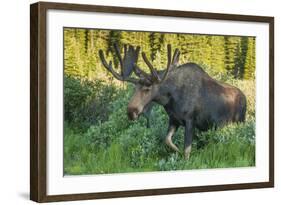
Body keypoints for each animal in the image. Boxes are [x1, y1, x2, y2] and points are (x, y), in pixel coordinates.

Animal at [98, 43, 245, 159]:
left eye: (147, 88)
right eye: (134, 88)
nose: (131, 112)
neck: (170, 99)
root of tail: (245, 98)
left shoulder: (190, 120)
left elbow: (187, 150)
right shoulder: (174, 119)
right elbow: (167, 140)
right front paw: (177, 151)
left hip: (239, 121)